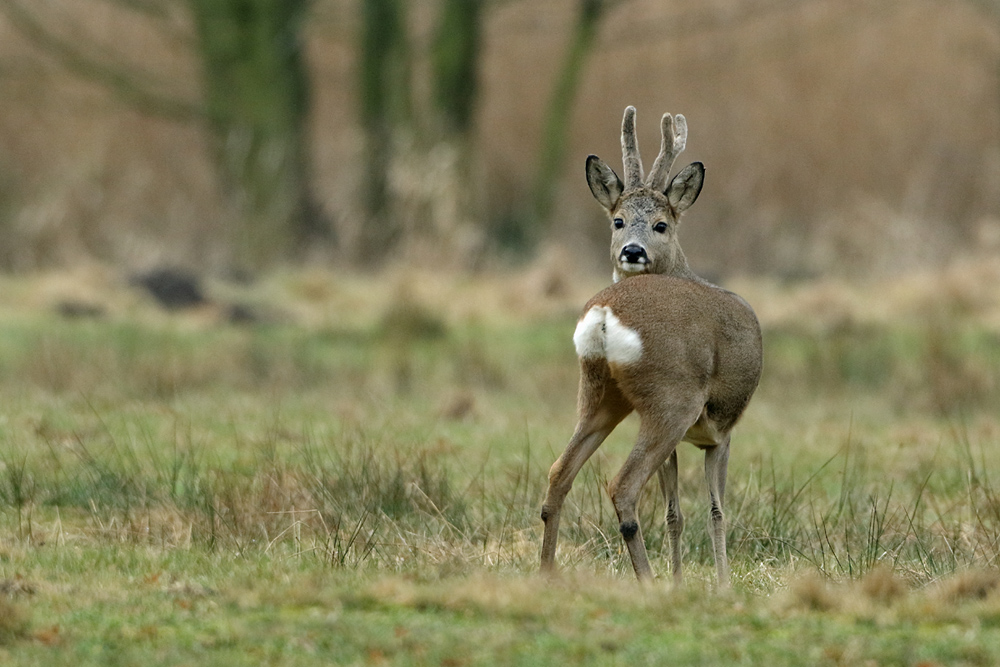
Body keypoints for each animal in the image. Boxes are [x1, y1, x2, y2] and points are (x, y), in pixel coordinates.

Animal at [544, 107, 760, 588]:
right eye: (618, 220)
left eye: (661, 224)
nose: (632, 251)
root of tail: (605, 313)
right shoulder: (721, 432)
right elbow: (716, 510)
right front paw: (722, 586)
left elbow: (675, 512)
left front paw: (682, 582)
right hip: (671, 398)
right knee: (622, 486)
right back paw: (646, 583)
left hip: (600, 393)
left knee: (559, 472)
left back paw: (544, 571)